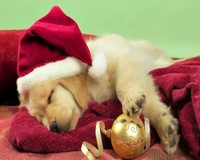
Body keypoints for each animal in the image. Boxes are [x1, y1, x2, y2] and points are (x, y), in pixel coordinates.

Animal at [19, 34, 180, 154]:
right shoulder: (142, 77)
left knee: (164, 62)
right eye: (39, 119)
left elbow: (123, 84)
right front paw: (166, 128)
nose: (53, 128)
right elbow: (149, 103)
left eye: (50, 96)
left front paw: (131, 99)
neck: (91, 86)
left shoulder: (125, 58)